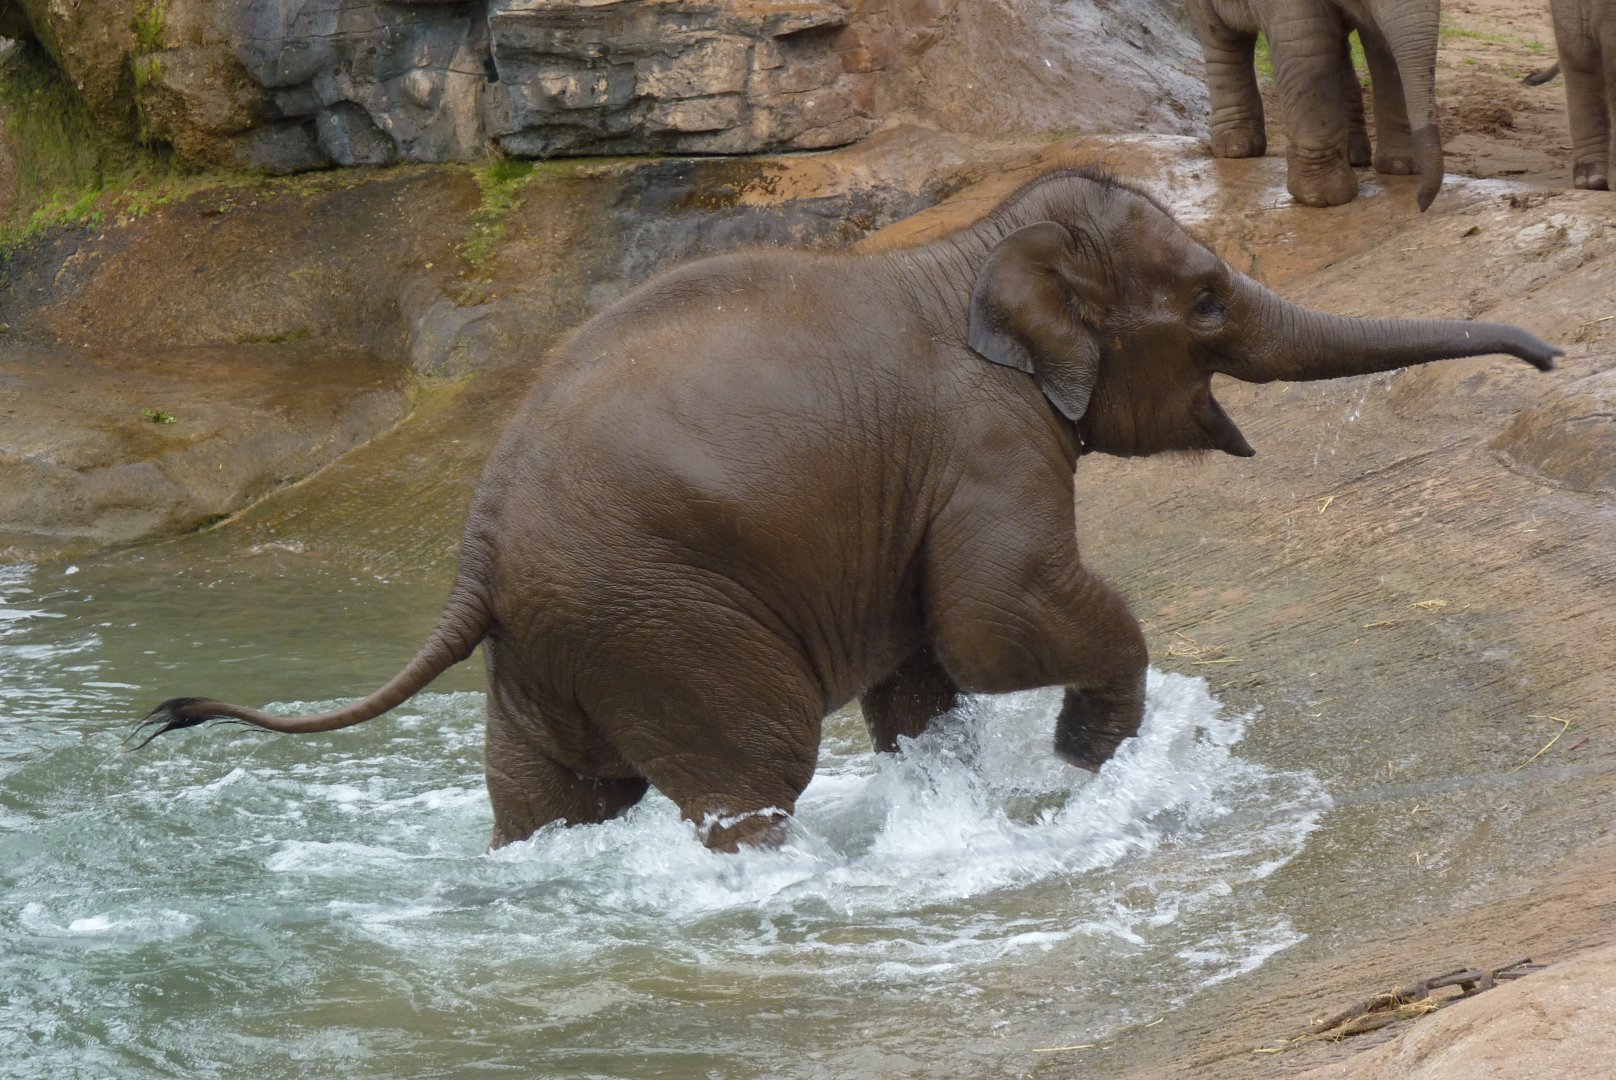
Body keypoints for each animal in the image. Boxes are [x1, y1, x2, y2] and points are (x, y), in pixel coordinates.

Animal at [132, 167, 1560, 852]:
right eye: (1206, 302)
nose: (1549, 354)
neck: (968, 253)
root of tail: (474, 549)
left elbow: (928, 675)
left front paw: (965, 799)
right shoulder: (984, 439)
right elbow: (995, 619)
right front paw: (1086, 760)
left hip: (558, 642)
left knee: (551, 798)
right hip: (660, 614)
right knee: (750, 773)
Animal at [1186, 0, 1445, 209]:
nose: (1420, 203)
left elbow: (1382, 46)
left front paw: (1401, 167)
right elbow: (1307, 43)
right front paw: (1324, 199)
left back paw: (1355, 155)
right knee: (1222, 38)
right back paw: (1237, 149)